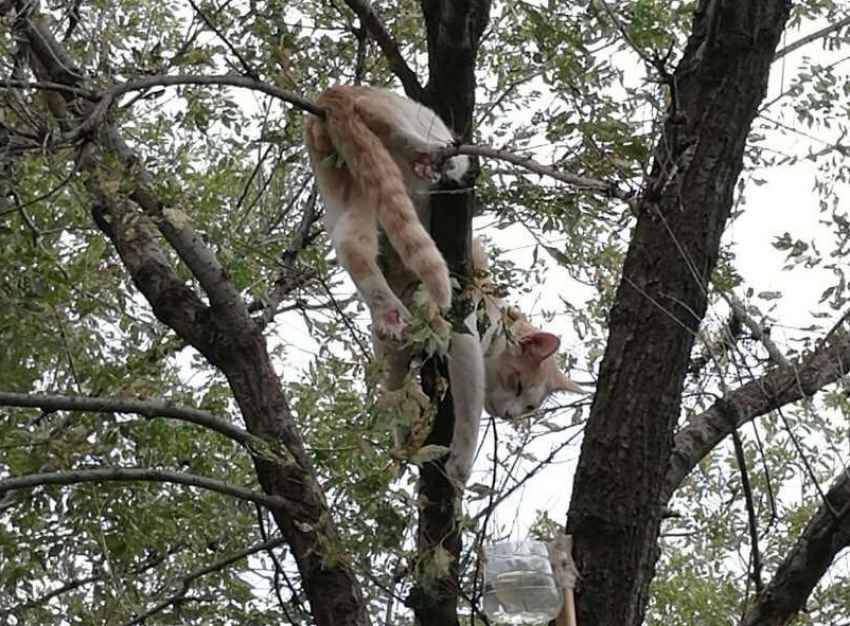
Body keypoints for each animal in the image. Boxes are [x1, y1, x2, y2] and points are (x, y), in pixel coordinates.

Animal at [300, 85, 584, 482]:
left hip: (355, 189)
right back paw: (429, 155)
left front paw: (405, 441)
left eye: (529, 407)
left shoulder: (392, 346)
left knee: (353, 243)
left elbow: (395, 387)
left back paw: (388, 312)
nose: (511, 415)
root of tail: (336, 91)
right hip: (426, 136)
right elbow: (468, 412)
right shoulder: (462, 336)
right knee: (414, 136)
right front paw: (460, 466)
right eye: (517, 384)